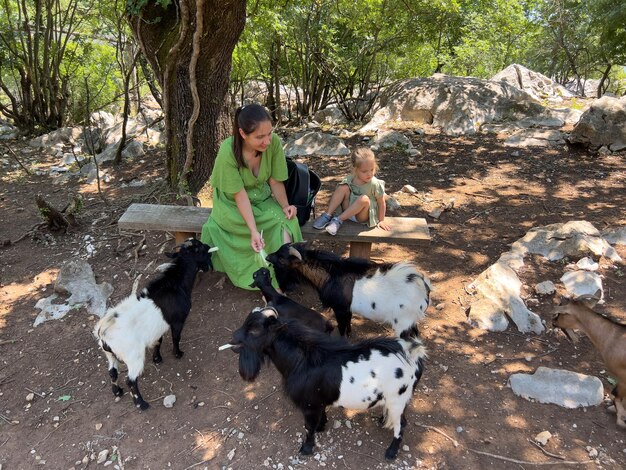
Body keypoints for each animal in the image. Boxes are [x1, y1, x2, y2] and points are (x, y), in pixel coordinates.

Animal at [92, 239, 213, 408]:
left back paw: (117, 391)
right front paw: (178, 354)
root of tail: (103, 331)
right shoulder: (178, 321)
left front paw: (157, 359)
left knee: (112, 372)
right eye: (200, 248)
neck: (175, 283)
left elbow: (158, 341)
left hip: (109, 354)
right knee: (130, 380)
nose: (209, 247)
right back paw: (141, 404)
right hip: (133, 356)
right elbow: (176, 337)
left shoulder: (157, 328)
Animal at [227, 308, 426, 458]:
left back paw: (391, 453)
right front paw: (322, 427)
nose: (233, 338)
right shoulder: (317, 401)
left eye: (254, 330)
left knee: (401, 424)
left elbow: (308, 427)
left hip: (398, 399)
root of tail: (415, 355)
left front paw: (306, 448)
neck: (302, 361)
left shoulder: (309, 405)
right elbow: (319, 417)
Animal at [266, 242, 432, 338]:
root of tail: (424, 289)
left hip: (403, 321)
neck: (331, 275)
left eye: (281, 258)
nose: (267, 257)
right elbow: (348, 323)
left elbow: (342, 328)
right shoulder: (347, 309)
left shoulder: (339, 309)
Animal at [552, 302, 624, 430]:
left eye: (560, 314)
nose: (553, 321)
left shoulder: (623, 376)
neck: (612, 338)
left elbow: (616, 395)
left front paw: (621, 420)